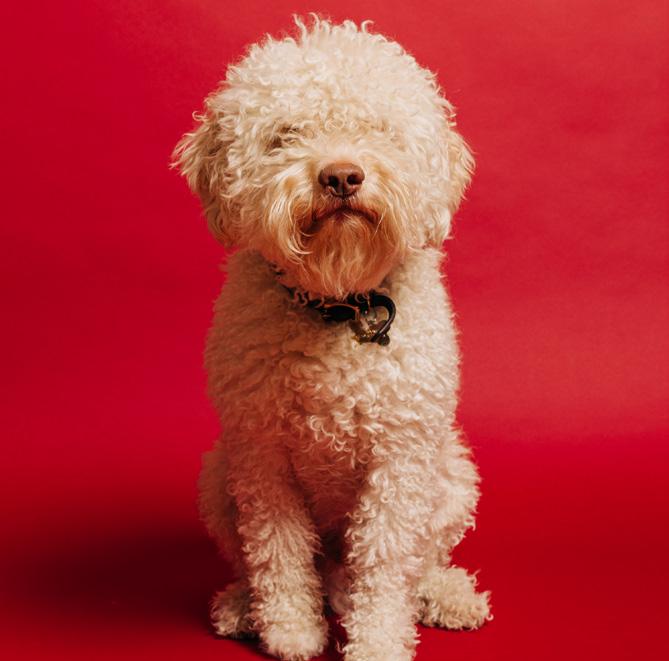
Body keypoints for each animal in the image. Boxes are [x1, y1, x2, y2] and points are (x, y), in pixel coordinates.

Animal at [173, 17, 490, 661]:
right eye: (285, 136)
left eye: (378, 131)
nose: (341, 175)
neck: (339, 304)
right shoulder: (262, 454)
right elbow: (277, 548)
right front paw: (290, 628)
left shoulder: (400, 458)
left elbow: (387, 560)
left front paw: (378, 641)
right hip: (219, 477)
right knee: (263, 560)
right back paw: (244, 606)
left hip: (450, 477)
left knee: (418, 562)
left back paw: (445, 595)